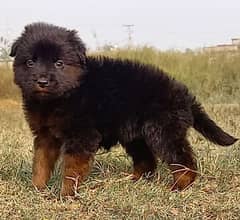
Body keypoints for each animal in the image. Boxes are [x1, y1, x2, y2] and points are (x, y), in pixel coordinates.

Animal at [9, 22, 238, 196]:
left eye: (59, 63)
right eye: (30, 62)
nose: (42, 81)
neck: (63, 96)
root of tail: (183, 93)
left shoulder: (81, 136)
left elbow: (71, 169)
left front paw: (66, 194)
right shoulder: (45, 135)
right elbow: (40, 163)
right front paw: (37, 189)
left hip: (163, 133)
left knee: (183, 160)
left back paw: (178, 188)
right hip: (136, 135)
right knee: (147, 162)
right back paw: (134, 181)